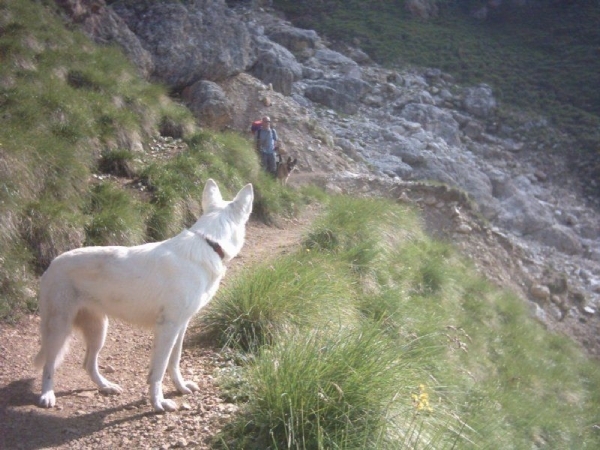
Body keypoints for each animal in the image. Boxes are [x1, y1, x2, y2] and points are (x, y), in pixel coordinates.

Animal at [33, 178, 253, 412]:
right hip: (59, 329)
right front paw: (158, 402)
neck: (209, 243)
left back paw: (106, 386)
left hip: (98, 331)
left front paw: (181, 387)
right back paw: (47, 395)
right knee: (49, 364)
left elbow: (174, 362)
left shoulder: (180, 326)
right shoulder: (167, 327)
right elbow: (159, 370)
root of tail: (52, 264)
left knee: (88, 364)